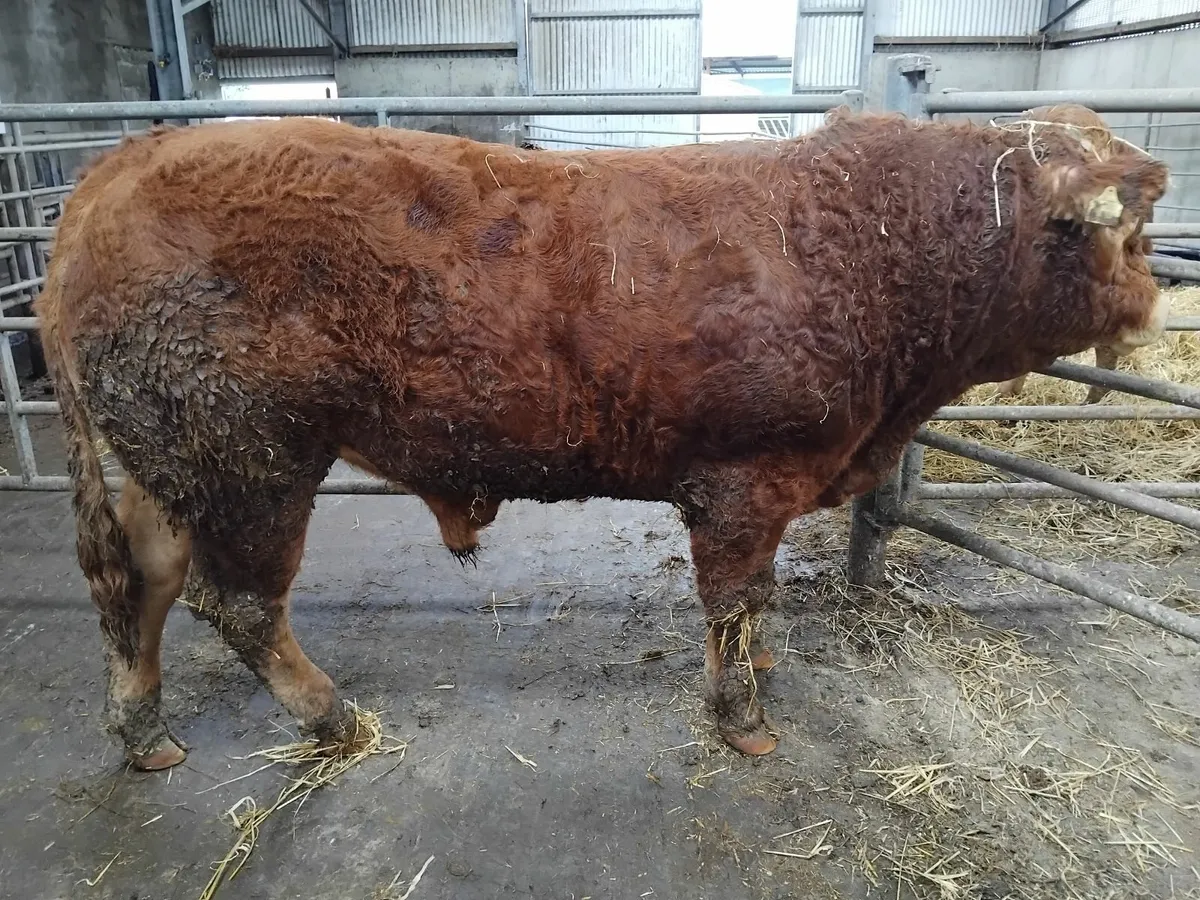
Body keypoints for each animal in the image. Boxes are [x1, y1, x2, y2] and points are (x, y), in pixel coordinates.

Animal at [36, 104, 1168, 770]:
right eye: (1120, 229)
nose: (1156, 303)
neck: (867, 244)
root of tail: (112, 172)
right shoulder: (744, 480)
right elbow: (733, 602)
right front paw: (744, 720)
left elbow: (756, 603)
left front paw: (765, 674)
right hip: (253, 463)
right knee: (237, 604)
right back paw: (332, 718)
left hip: (170, 463)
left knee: (140, 581)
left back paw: (145, 736)